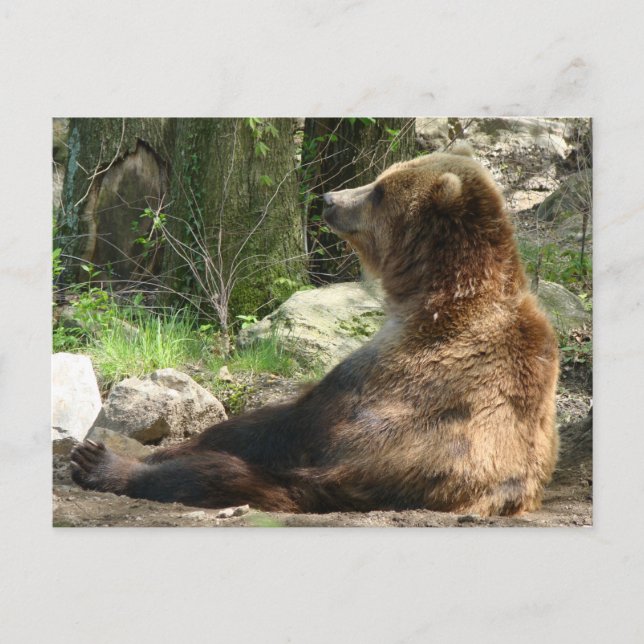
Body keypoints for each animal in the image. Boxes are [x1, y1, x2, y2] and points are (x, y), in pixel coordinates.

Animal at [71, 146, 559, 516]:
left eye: (379, 190)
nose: (329, 198)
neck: (435, 298)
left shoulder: (397, 372)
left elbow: (283, 421)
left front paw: (149, 452)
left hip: (373, 463)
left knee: (231, 476)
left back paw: (103, 464)